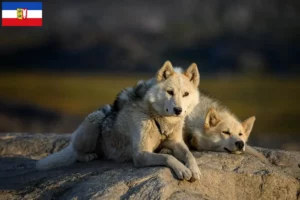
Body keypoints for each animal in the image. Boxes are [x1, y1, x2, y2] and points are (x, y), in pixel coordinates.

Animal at [37, 61, 202, 181]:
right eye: (170, 92)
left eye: (186, 94)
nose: (178, 110)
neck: (159, 118)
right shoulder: (140, 154)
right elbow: (168, 158)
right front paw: (182, 169)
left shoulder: (176, 142)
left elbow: (189, 154)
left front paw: (194, 169)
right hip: (94, 121)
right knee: (77, 152)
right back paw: (88, 156)